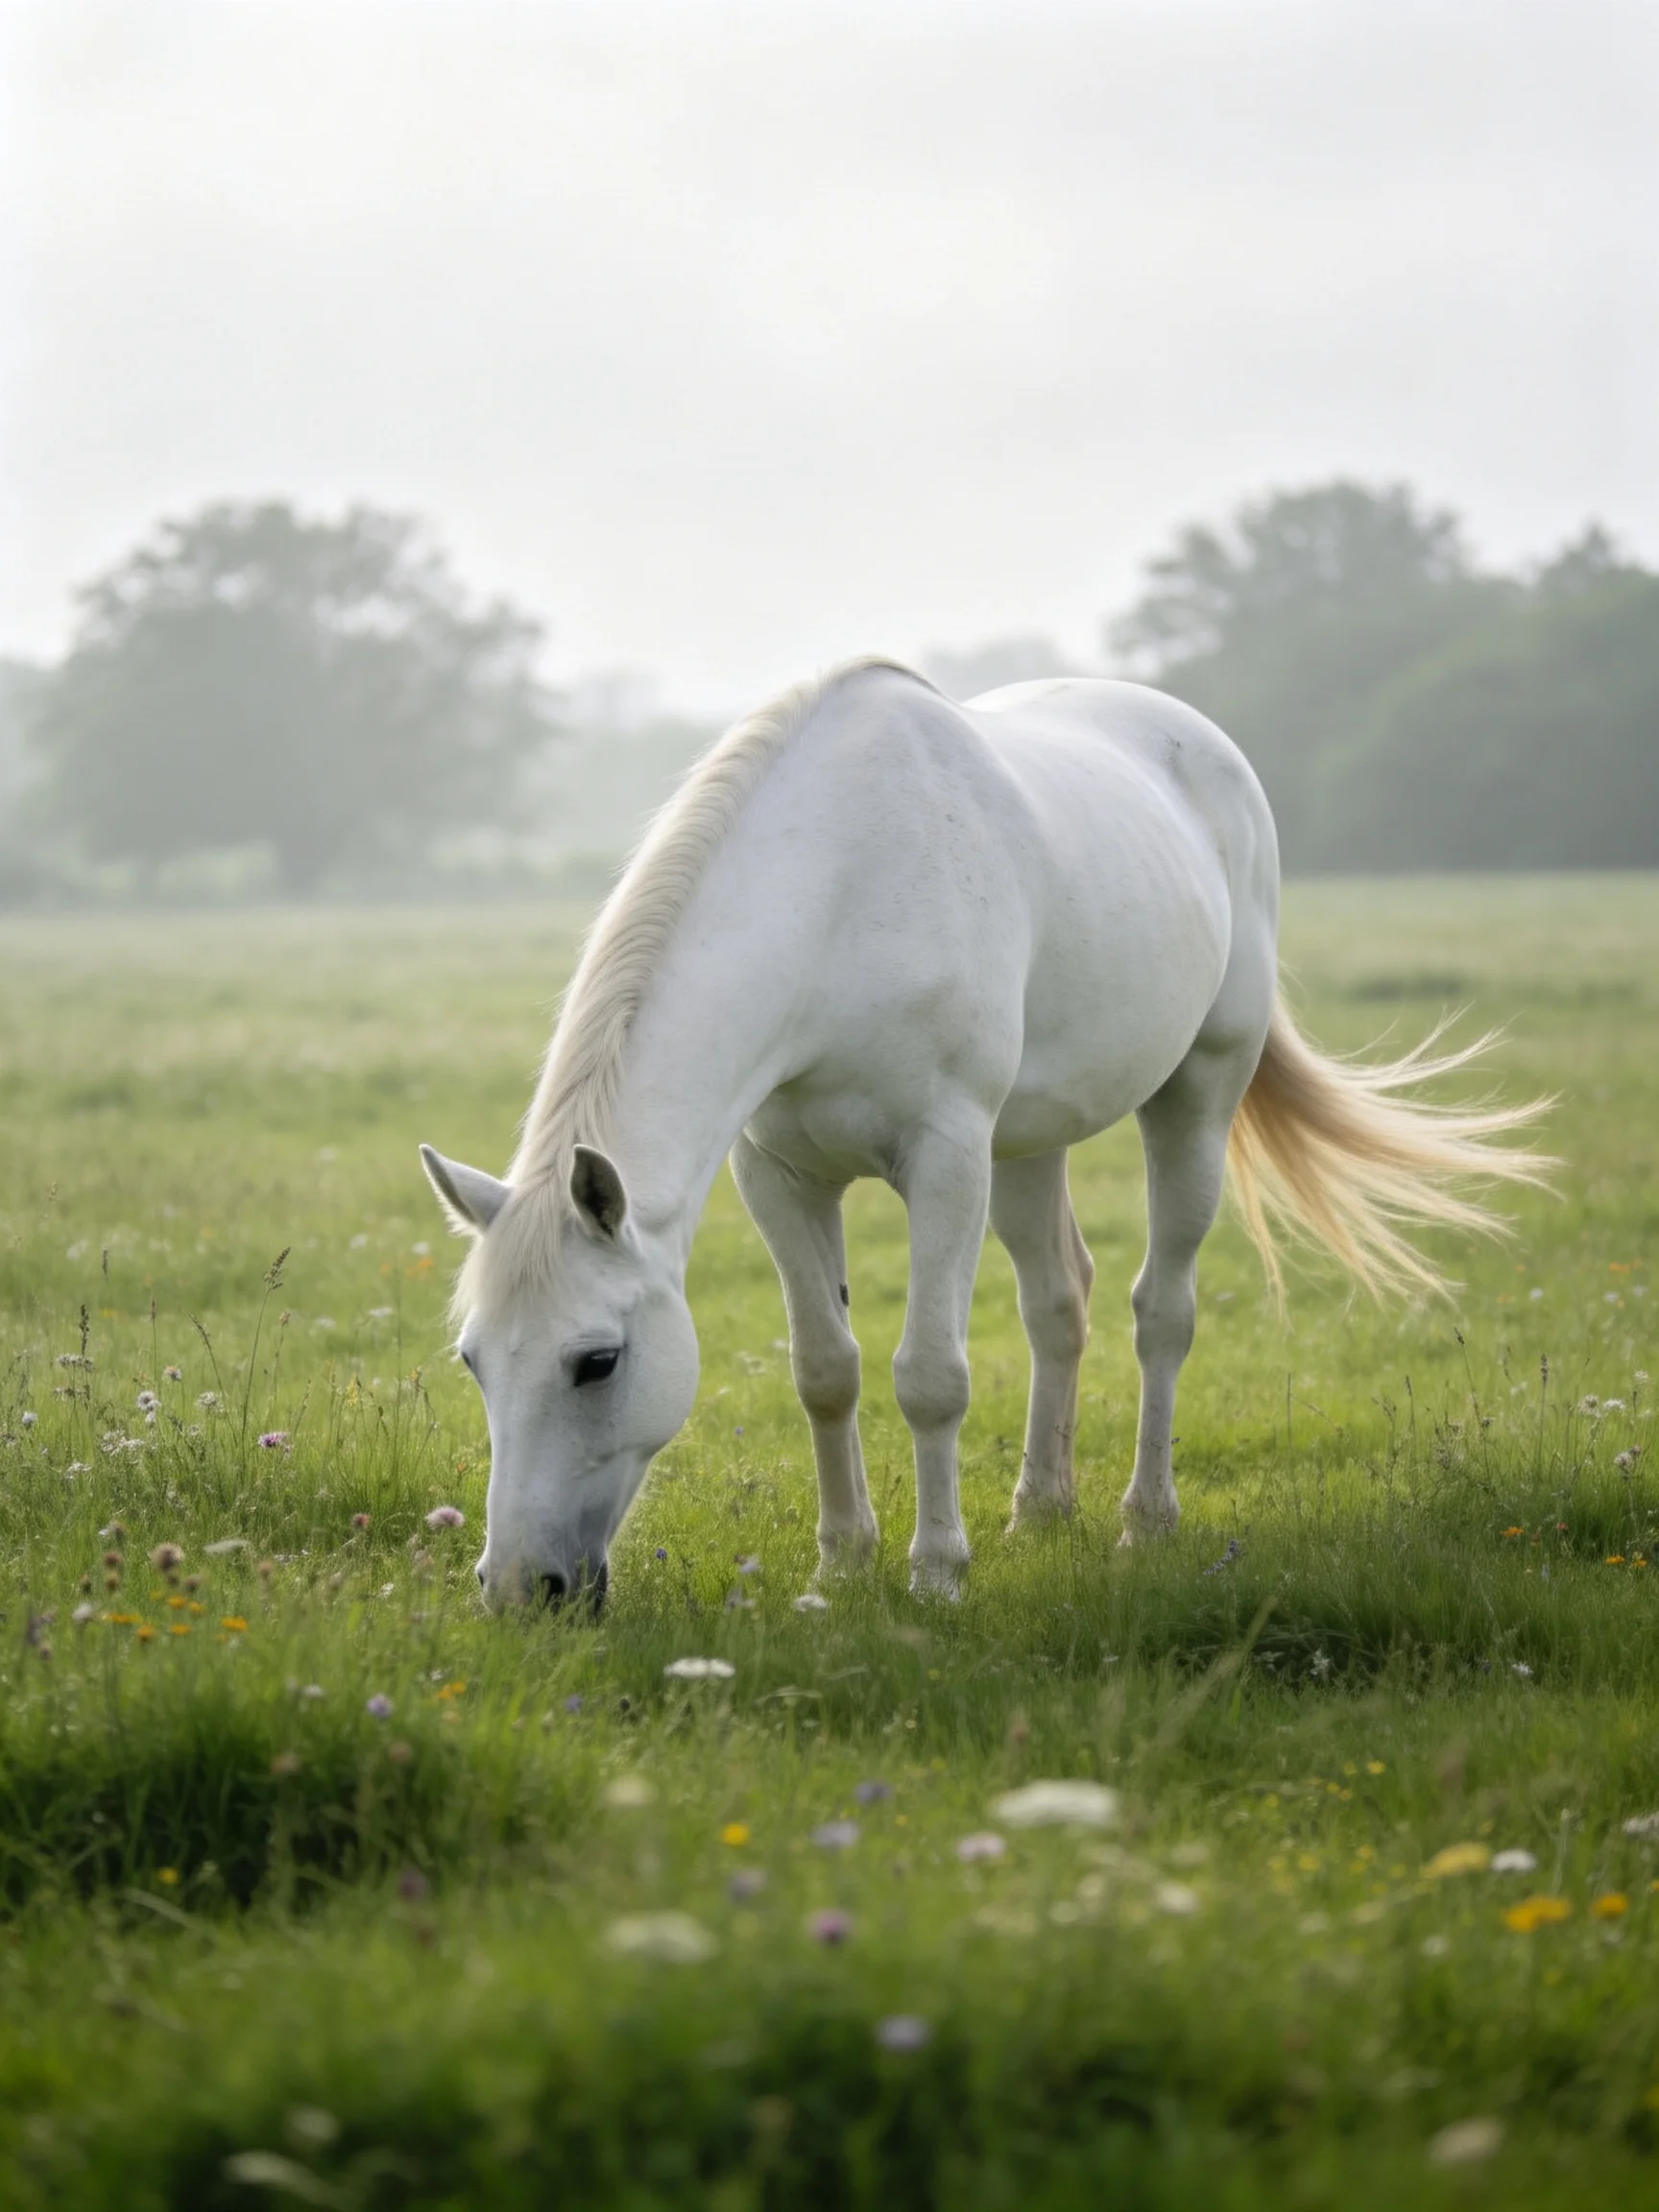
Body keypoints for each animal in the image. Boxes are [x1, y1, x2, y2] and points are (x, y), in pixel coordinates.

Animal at [420, 657, 1547, 1608]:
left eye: (597, 1361)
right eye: (474, 1359)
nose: (518, 1590)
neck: (839, 894)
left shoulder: (945, 1159)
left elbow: (930, 1377)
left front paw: (936, 1574)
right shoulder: (780, 1174)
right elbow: (824, 1370)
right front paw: (842, 1564)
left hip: (1194, 1095)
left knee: (1161, 1310)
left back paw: (1144, 1522)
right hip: (1029, 1145)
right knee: (1060, 1299)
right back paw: (1040, 1508)